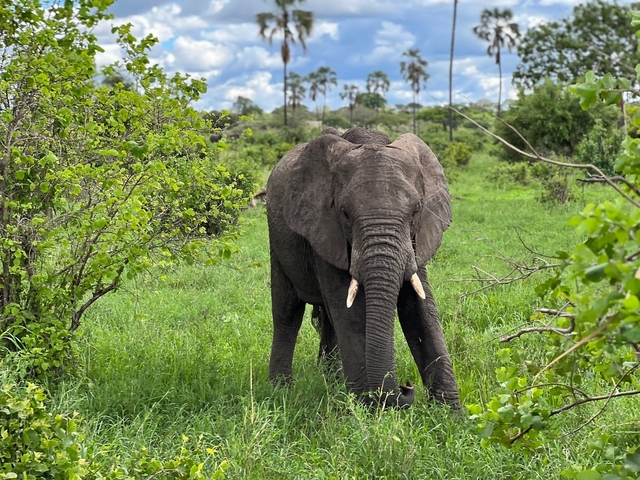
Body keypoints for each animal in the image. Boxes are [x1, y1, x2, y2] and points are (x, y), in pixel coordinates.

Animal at [266, 127, 460, 409]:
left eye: (415, 211)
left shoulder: (418, 238)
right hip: (277, 240)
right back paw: (280, 390)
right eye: (345, 213)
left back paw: (332, 379)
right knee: (287, 311)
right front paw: (365, 411)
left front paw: (452, 415)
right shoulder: (325, 231)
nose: (406, 386)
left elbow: (420, 310)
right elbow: (351, 316)